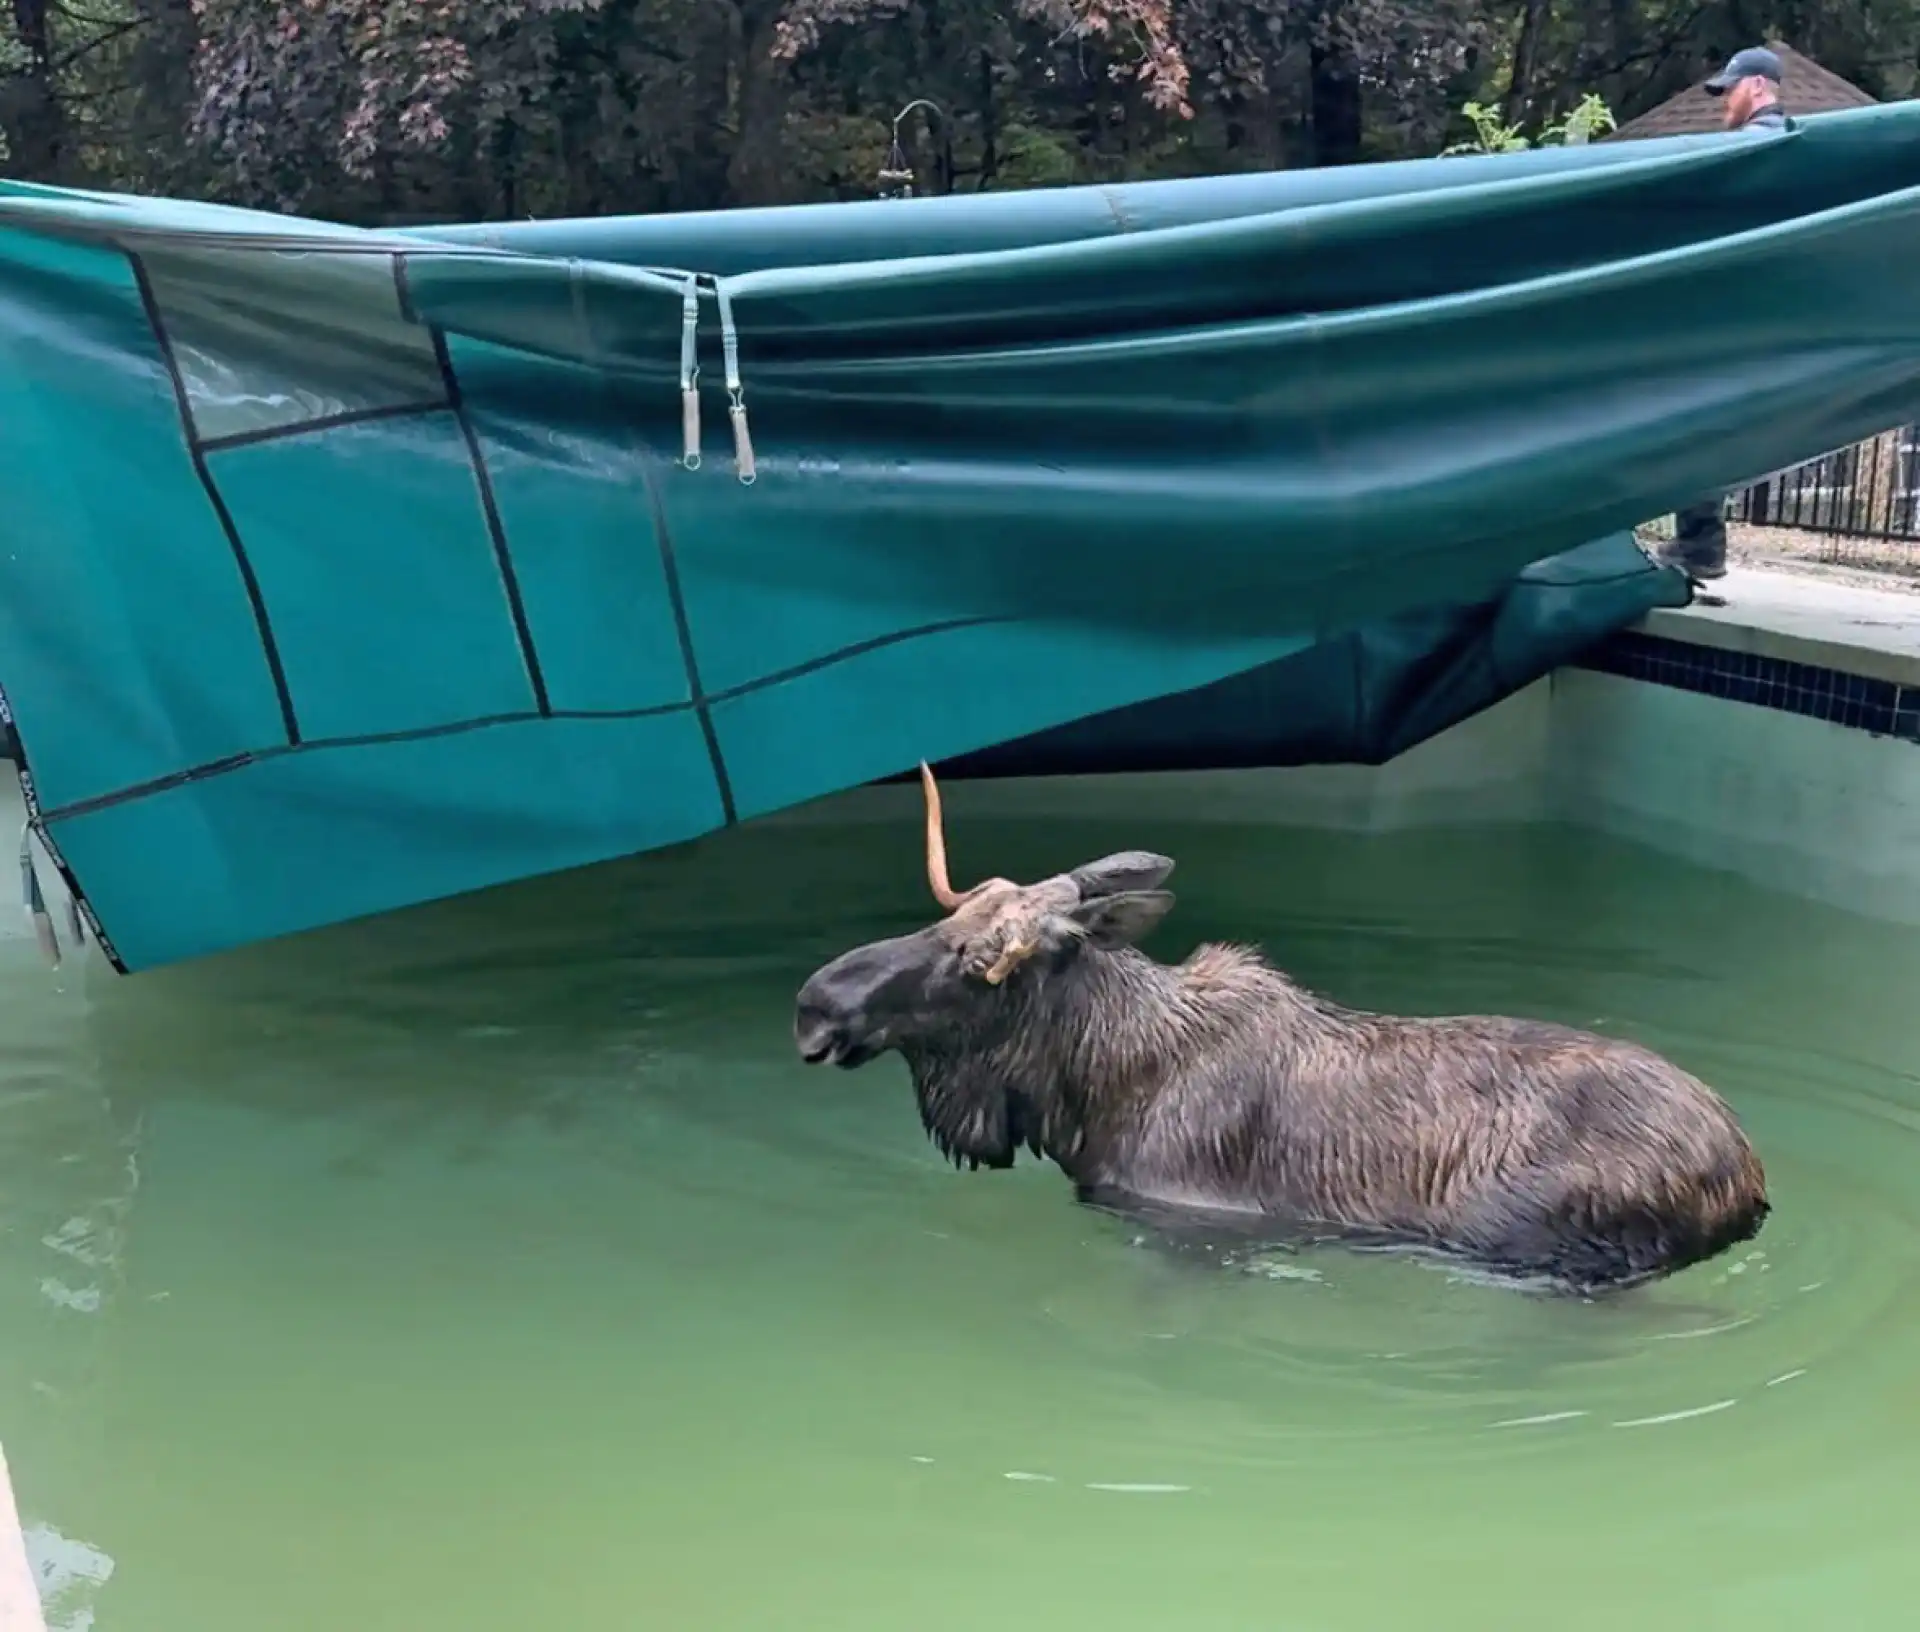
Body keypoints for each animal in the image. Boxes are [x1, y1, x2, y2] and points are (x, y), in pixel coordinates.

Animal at [794, 764, 1766, 1282]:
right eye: (949, 921)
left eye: (975, 963)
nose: (815, 1002)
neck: (1091, 1088)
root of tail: (1749, 1178)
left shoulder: (1188, 1229)